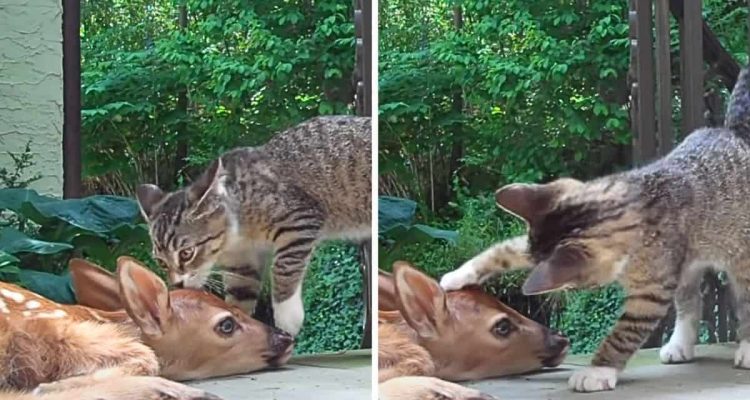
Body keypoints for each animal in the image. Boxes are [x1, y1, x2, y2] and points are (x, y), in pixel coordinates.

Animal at [137, 115, 374, 334]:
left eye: (187, 253)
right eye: (161, 262)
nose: (176, 284)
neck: (236, 238)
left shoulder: (299, 219)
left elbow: (284, 266)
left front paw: (287, 315)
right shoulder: (241, 265)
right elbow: (240, 297)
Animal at [440, 69, 750, 390]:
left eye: (572, 285)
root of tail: (734, 133)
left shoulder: (651, 291)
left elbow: (623, 334)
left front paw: (598, 370)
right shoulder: (538, 237)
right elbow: (502, 251)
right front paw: (456, 276)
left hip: (740, 257)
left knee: (743, 300)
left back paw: (745, 349)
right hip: (686, 266)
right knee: (690, 300)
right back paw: (680, 345)